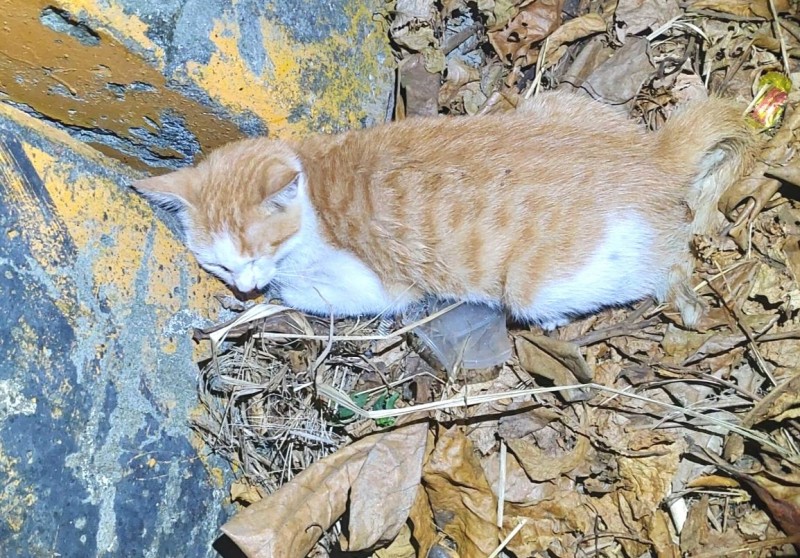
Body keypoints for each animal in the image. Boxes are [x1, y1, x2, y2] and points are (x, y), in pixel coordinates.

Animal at [134, 89, 752, 330]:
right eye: (218, 262)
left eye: (262, 248)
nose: (242, 284)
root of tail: (649, 157)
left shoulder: (374, 290)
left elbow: (296, 294)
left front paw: (254, 305)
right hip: (551, 100)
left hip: (537, 287)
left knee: (665, 262)